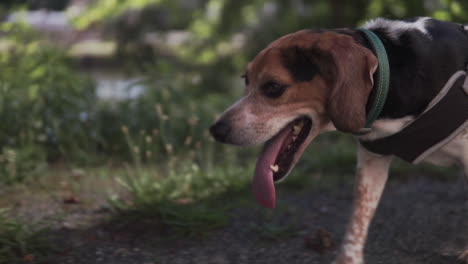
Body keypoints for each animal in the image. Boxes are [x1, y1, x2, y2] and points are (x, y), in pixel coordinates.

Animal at [209, 17, 468, 264]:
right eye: (245, 80)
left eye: (273, 87)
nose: (215, 130)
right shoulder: (371, 161)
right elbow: (359, 214)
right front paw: (348, 258)